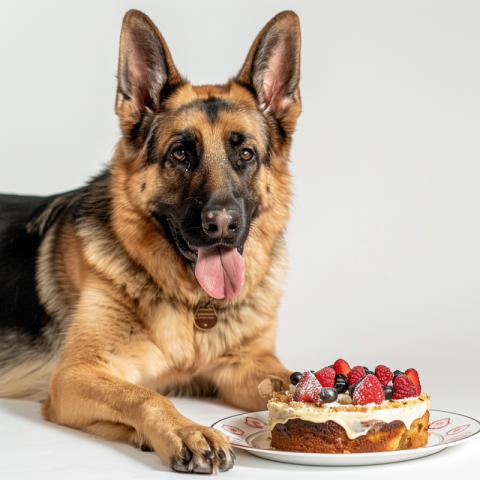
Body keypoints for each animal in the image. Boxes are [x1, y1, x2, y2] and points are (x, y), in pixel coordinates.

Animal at [0, 9, 300, 474]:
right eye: (180, 154)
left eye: (246, 154)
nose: (222, 224)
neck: (193, 306)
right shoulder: (74, 375)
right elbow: (145, 394)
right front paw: (189, 430)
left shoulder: (246, 365)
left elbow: (297, 379)